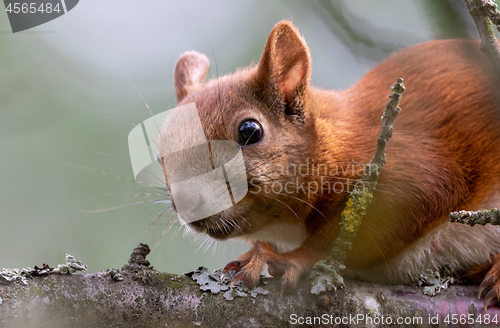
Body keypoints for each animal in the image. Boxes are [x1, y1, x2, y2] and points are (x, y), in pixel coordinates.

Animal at [158, 19, 500, 302]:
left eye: (250, 131)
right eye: (160, 151)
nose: (187, 203)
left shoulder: (408, 168)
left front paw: (284, 258)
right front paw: (257, 254)